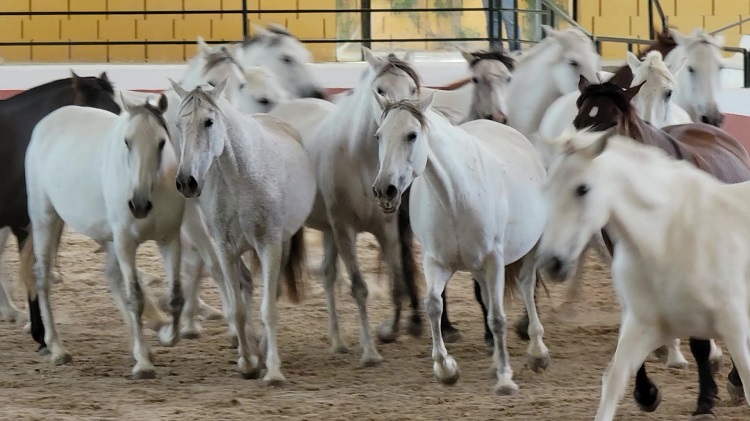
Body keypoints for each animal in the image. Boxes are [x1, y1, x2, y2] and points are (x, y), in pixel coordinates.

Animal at [25, 92, 184, 378]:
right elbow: (135, 298)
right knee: (42, 278)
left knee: (111, 277)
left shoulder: (169, 240)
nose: (138, 205)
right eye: (127, 142)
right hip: (46, 220)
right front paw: (143, 365)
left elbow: (176, 296)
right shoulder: (126, 242)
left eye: (161, 142)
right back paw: (57, 349)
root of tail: (46, 123)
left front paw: (166, 336)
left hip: (109, 239)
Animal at [374, 92, 548, 394]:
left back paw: (537, 352)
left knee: (526, 286)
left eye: (412, 135)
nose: (386, 190)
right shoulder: (435, 262)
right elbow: (434, 306)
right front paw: (446, 369)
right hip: (478, 269)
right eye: (379, 136)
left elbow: (498, 318)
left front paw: (505, 379)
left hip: (528, 251)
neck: (455, 197)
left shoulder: (494, 261)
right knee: (488, 300)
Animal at [568, 78, 750, 416]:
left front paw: (705, 399)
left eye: (612, 124)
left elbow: (700, 340)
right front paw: (645, 392)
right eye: (578, 122)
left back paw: (733, 380)